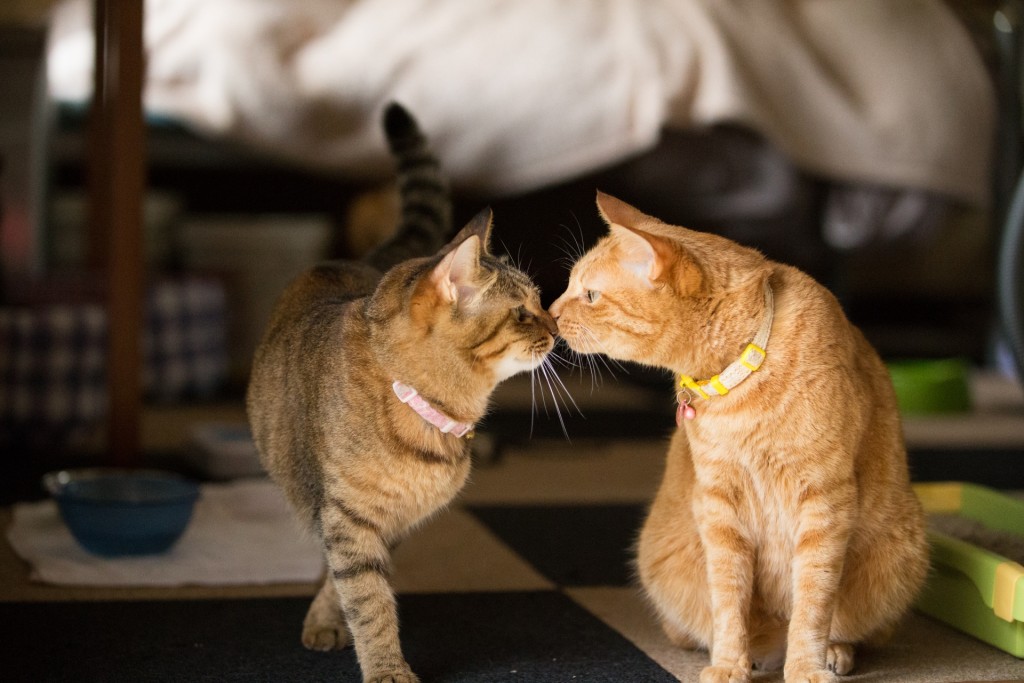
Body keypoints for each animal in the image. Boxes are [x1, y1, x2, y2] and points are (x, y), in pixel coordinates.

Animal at [245, 102, 561, 683]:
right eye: (523, 312)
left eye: (540, 303)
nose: (557, 327)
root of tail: (366, 260)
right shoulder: (347, 517)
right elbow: (368, 600)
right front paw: (386, 668)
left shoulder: (385, 524)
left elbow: (356, 587)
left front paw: (337, 623)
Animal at [548, 192, 933, 683]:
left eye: (591, 295)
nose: (549, 313)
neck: (743, 374)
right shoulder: (718, 505)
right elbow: (729, 600)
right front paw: (730, 664)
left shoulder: (824, 500)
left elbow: (813, 602)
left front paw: (805, 666)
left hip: (902, 549)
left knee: (849, 628)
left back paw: (834, 652)